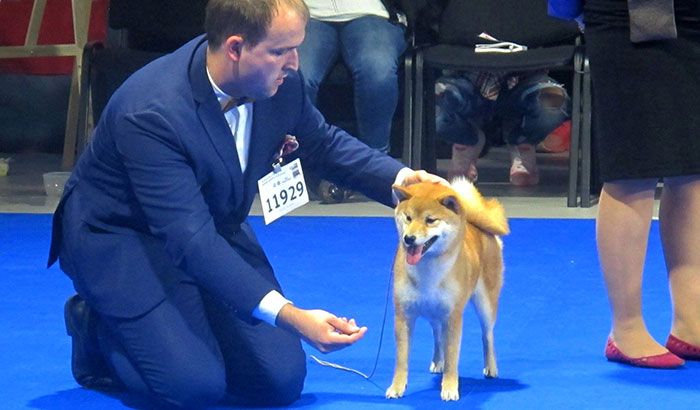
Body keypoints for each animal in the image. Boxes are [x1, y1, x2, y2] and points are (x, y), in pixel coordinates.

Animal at [382, 176, 508, 400]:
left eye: (430, 220)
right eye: (408, 218)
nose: (409, 238)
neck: (428, 271)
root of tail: (477, 225)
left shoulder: (453, 317)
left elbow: (452, 357)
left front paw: (449, 387)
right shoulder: (403, 316)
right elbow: (402, 359)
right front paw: (397, 386)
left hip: (485, 305)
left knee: (487, 336)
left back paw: (491, 367)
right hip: (435, 314)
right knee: (437, 335)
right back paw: (437, 362)